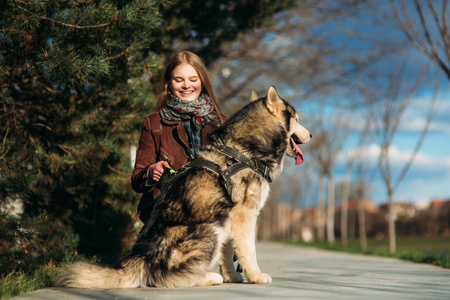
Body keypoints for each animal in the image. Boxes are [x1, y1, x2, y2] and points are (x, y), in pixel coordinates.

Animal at [55, 86, 310, 288]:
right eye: (297, 119)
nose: (311, 135)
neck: (244, 150)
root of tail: (142, 257)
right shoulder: (244, 215)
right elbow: (248, 251)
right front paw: (256, 277)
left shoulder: (228, 216)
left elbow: (228, 252)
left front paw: (232, 276)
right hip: (209, 229)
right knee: (165, 278)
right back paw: (208, 278)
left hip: (217, 224)